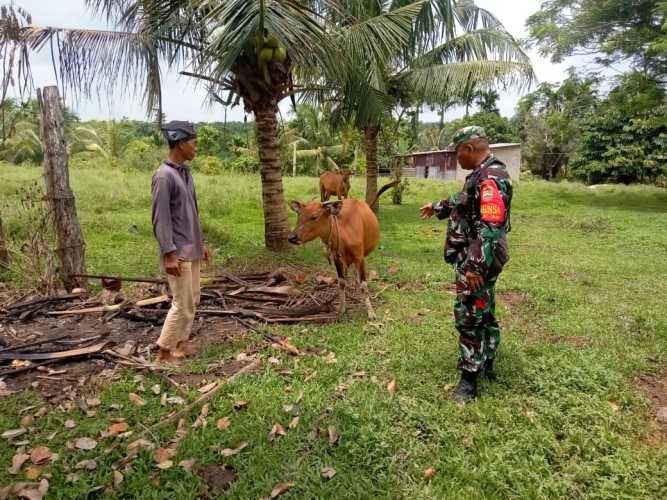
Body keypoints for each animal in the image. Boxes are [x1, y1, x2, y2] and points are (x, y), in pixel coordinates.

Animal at [290, 180, 400, 320]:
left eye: (314, 217)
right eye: (299, 215)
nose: (292, 237)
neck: (344, 233)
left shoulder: (360, 258)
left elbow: (364, 285)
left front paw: (371, 313)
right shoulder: (336, 258)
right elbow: (341, 282)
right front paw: (342, 309)